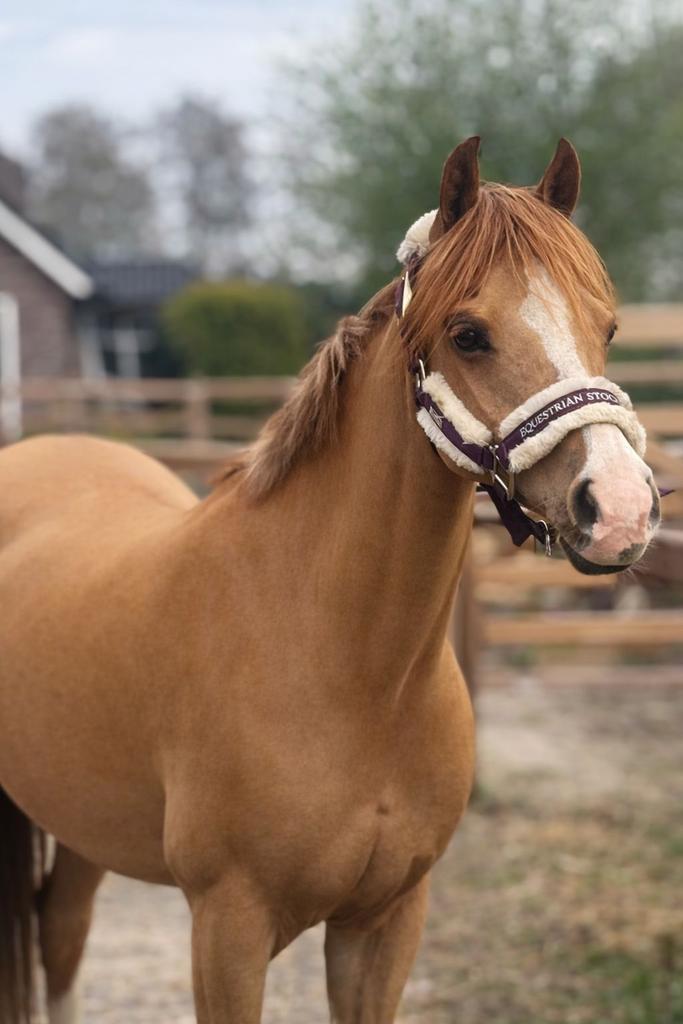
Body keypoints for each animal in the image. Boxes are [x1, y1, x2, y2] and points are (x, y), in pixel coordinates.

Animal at [0, 136, 659, 1024]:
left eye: (607, 327)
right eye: (467, 334)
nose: (619, 508)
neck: (354, 671)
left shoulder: (384, 922)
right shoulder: (227, 929)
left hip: (80, 821)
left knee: (61, 931)